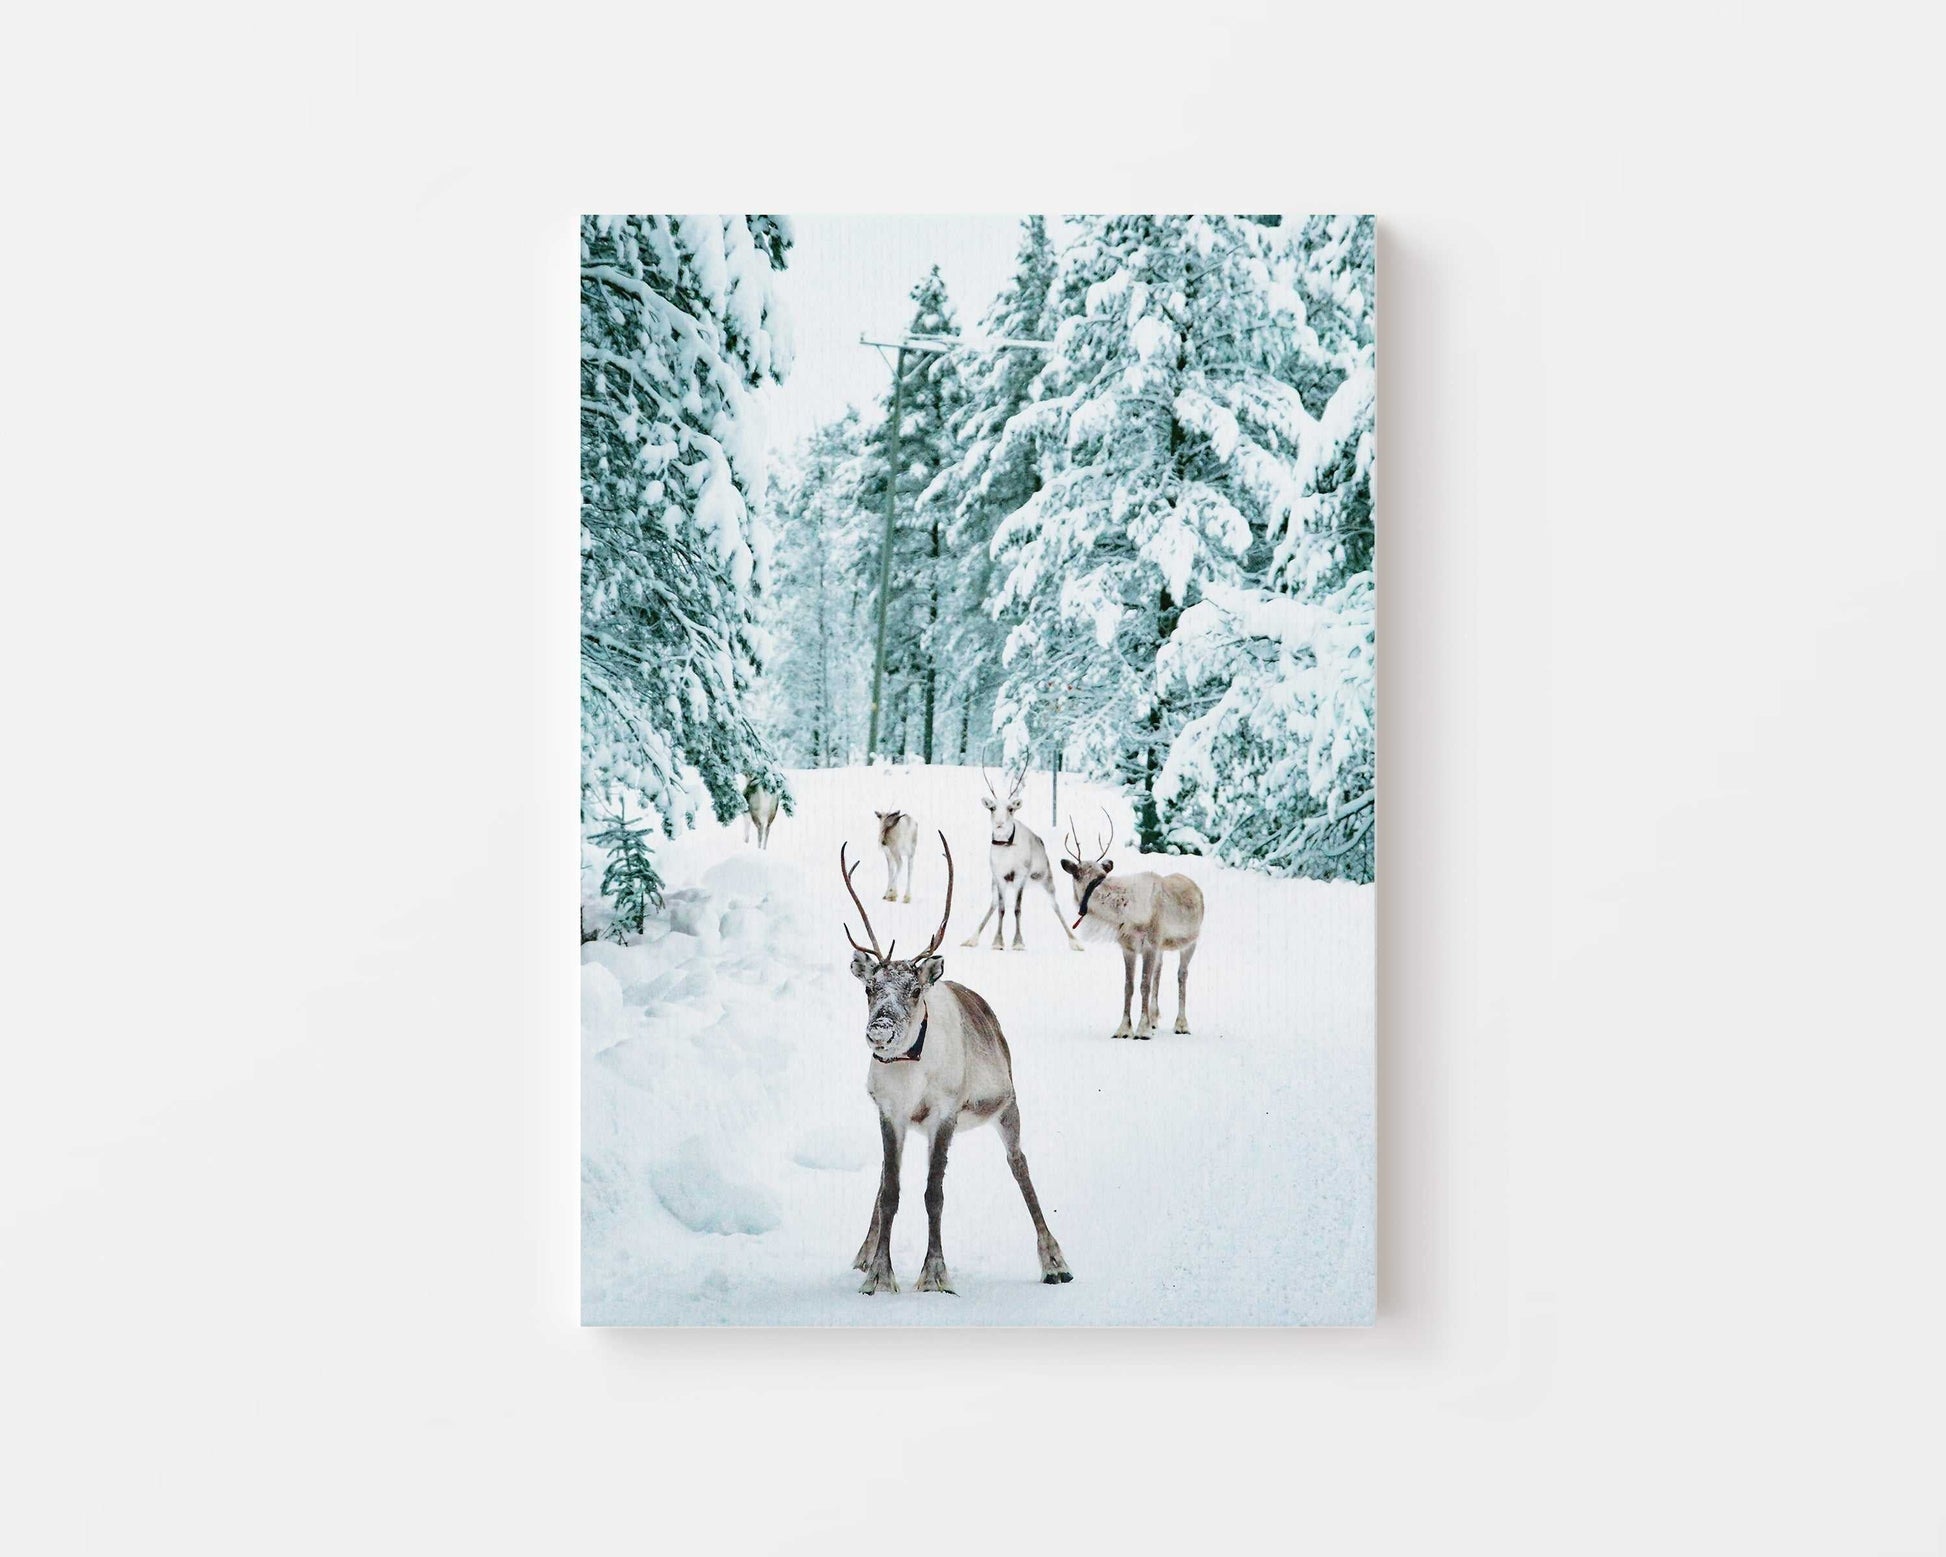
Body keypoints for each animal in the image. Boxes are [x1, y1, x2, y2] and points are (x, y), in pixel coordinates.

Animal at [840, 831, 1073, 1294]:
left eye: (914, 990)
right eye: (870, 988)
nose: (880, 1028)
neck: (909, 1069)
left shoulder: (944, 1114)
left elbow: (934, 1194)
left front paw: (934, 1275)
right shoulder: (890, 1113)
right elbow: (890, 1191)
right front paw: (878, 1274)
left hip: (1007, 1106)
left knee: (1020, 1166)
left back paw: (1055, 1262)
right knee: (883, 1179)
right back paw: (862, 1254)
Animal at [961, 767, 1082, 953]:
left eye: (1011, 808)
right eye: (992, 808)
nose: (1000, 824)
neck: (1006, 847)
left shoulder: (1021, 876)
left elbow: (1017, 909)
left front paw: (1018, 943)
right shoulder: (999, 877)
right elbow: (1001, 909)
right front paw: (998, 942)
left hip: (1046, 879)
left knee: (1055, 906)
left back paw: (1075, 941)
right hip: (994, 884)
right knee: (993, 905)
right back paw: (971, 939)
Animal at [1061, 811, 1205, 1039]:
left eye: (1076, 874)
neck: (1124, 911)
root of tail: (1196, 888)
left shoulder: (1150, 944)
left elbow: (1143, 984)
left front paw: (1142, 1029)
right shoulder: (1128, 947)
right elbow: (1128, 986)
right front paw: (1123, 1029)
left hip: (1190, 942)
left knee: (1181, 975)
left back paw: (1181, 1024)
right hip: (1163, 947)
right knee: (1159, 973)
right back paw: (1155, 1019)